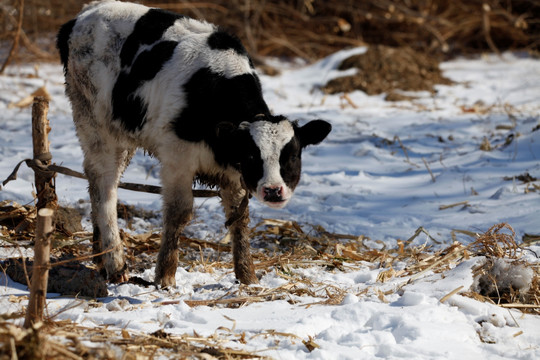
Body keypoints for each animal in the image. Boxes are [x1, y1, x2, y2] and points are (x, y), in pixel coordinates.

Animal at [57, 0, 332, 286]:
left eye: (292, 156)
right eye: (252, 156)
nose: (273, 190)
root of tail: (87, 11)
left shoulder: (231, 171)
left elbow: (239, 217)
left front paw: (247, 276)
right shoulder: (177, 158)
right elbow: (179, 213)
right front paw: (165, 276)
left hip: (121, 134)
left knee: (94, 180)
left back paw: (100, 258)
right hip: (92, 122)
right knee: (105, 188)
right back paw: (115, 263)